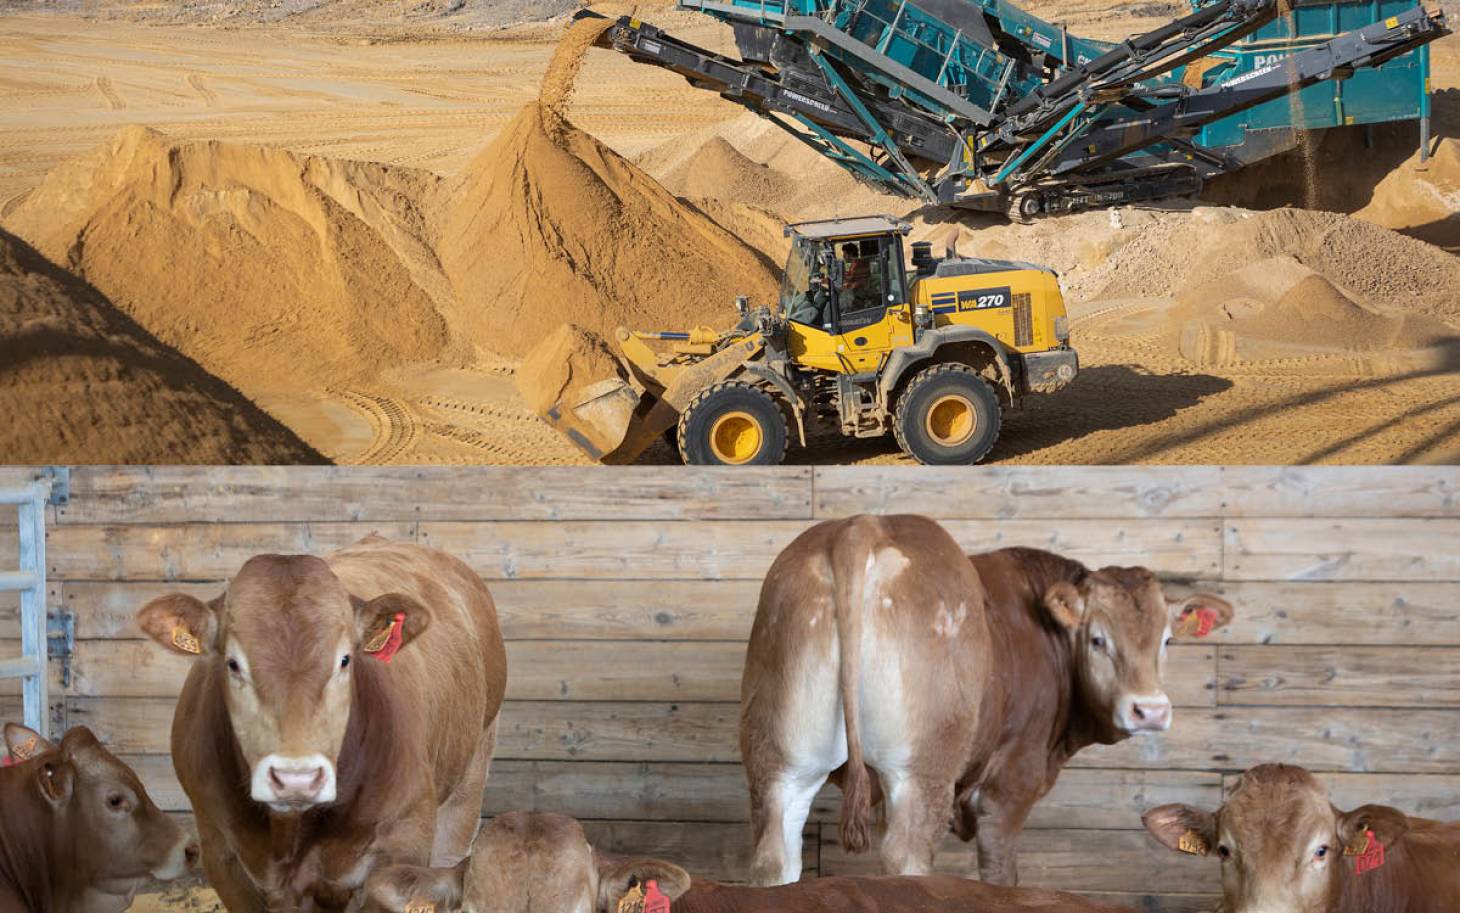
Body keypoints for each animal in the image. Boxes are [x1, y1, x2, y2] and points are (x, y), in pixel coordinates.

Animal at [137, 534, 511, 911]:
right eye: (233, 663)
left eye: (345, 659)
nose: (296, 779)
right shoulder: (220, 853)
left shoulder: (404, 841)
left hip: (473, 766)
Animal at [741, 517, 1232, 888]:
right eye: (1097, 639)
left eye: (1167, 639)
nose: (1150, 710)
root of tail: (860, 527)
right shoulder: (1010, 786)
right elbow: (1001, 877)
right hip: (921, 772)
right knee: (905, 857)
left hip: (780, 765)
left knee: (773, 859)